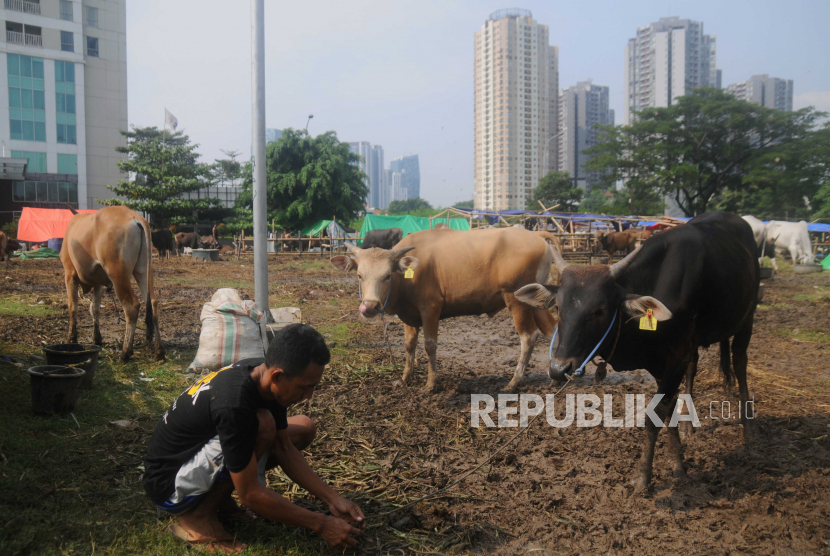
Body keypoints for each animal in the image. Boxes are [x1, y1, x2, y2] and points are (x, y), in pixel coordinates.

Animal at [61, 206, 165, 362]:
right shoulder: (98, 283)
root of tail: (134, 217)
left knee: (131, 306)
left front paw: (71, 339)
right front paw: (97, 338)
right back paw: (159, 352)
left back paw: (125, 353)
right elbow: (95, 309)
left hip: (117, 274)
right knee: (153, 303)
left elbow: (73, 307)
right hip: (143, 270)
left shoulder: (70, 274)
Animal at [332, 226, 560, 390]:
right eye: (359, 275)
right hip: (534, 300)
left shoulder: (430, 308)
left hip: (516, 300)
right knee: (552, 330)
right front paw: (405, 378)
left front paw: (431, 383)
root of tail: (535, 234)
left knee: (528, 336)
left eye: (387, 275)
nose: (370, 306)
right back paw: (556, 377)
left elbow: (429, 345)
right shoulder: (409, 315)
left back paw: (513, 382)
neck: (409, 276)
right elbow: (409, 345)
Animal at [516, 213, 764, 490]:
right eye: (558, 307)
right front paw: (677, 462)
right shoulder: (663, 363)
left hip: (747, 319)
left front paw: (644, 477)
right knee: (694, 369)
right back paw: (689, 424)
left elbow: (655, 415)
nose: (559, 369)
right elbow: (669, 409)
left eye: (599, 310)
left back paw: (749, 430)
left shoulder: (676, 358)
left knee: (740, 363)